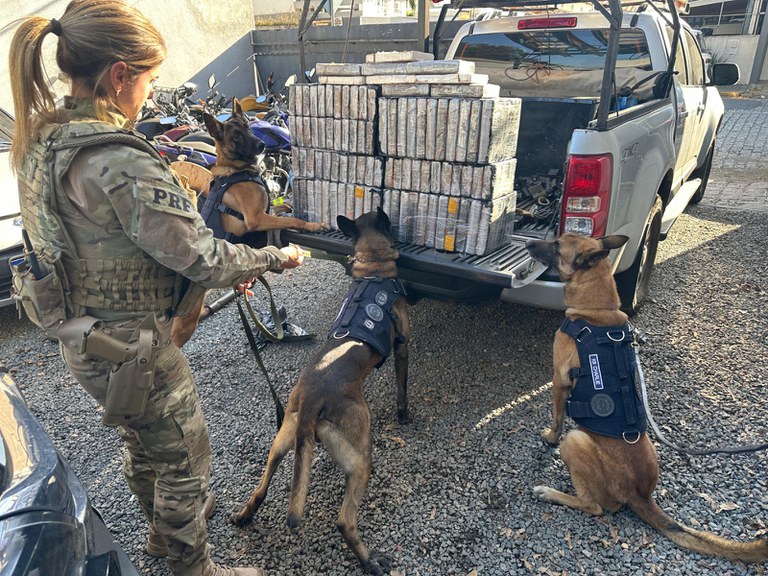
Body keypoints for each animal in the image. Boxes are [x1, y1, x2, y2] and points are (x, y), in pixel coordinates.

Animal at [171, 99, 328, 348]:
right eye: (236, 135)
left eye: (247, 127)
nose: (262, 145)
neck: (237, 169)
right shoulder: (256, 218)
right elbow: (293, 218)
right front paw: (313, 225)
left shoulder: (267, 211)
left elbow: (283, 209)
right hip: (186, 322)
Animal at [231, 208, 412, 576]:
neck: (373, 271)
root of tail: (313, 398)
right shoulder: (402, 347)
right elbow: (402, 389)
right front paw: (404, 415)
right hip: (360, 455)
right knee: (344, 521)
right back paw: (370, 560)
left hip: (282, 441)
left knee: (261, 489)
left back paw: (244, 516)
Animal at [524, 231, 768, 564]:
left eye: (557, 245)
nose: (527, 244)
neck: (596, 311)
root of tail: (640, 494)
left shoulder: (559, 381)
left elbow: (557, 416)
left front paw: (549, 437)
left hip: (576, 441)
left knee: (595, 506)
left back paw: (550, 493)